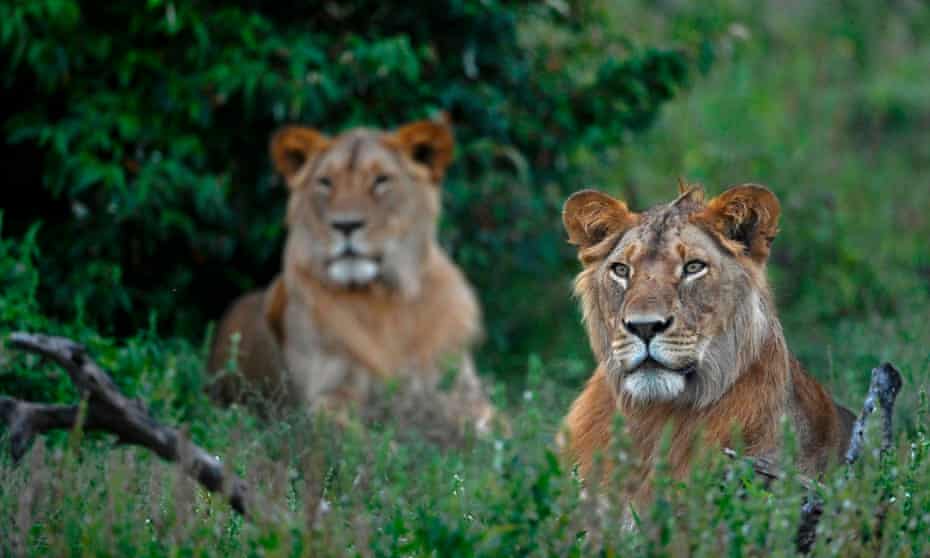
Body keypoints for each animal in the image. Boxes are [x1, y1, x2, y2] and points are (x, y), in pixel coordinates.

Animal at [207, 116, 496, 440]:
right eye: (325, 182)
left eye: (381, 180)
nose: (345, 225)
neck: (386, 300)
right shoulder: (326, 397)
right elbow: (356, 438)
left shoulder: (463, 392)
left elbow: (494, 429)